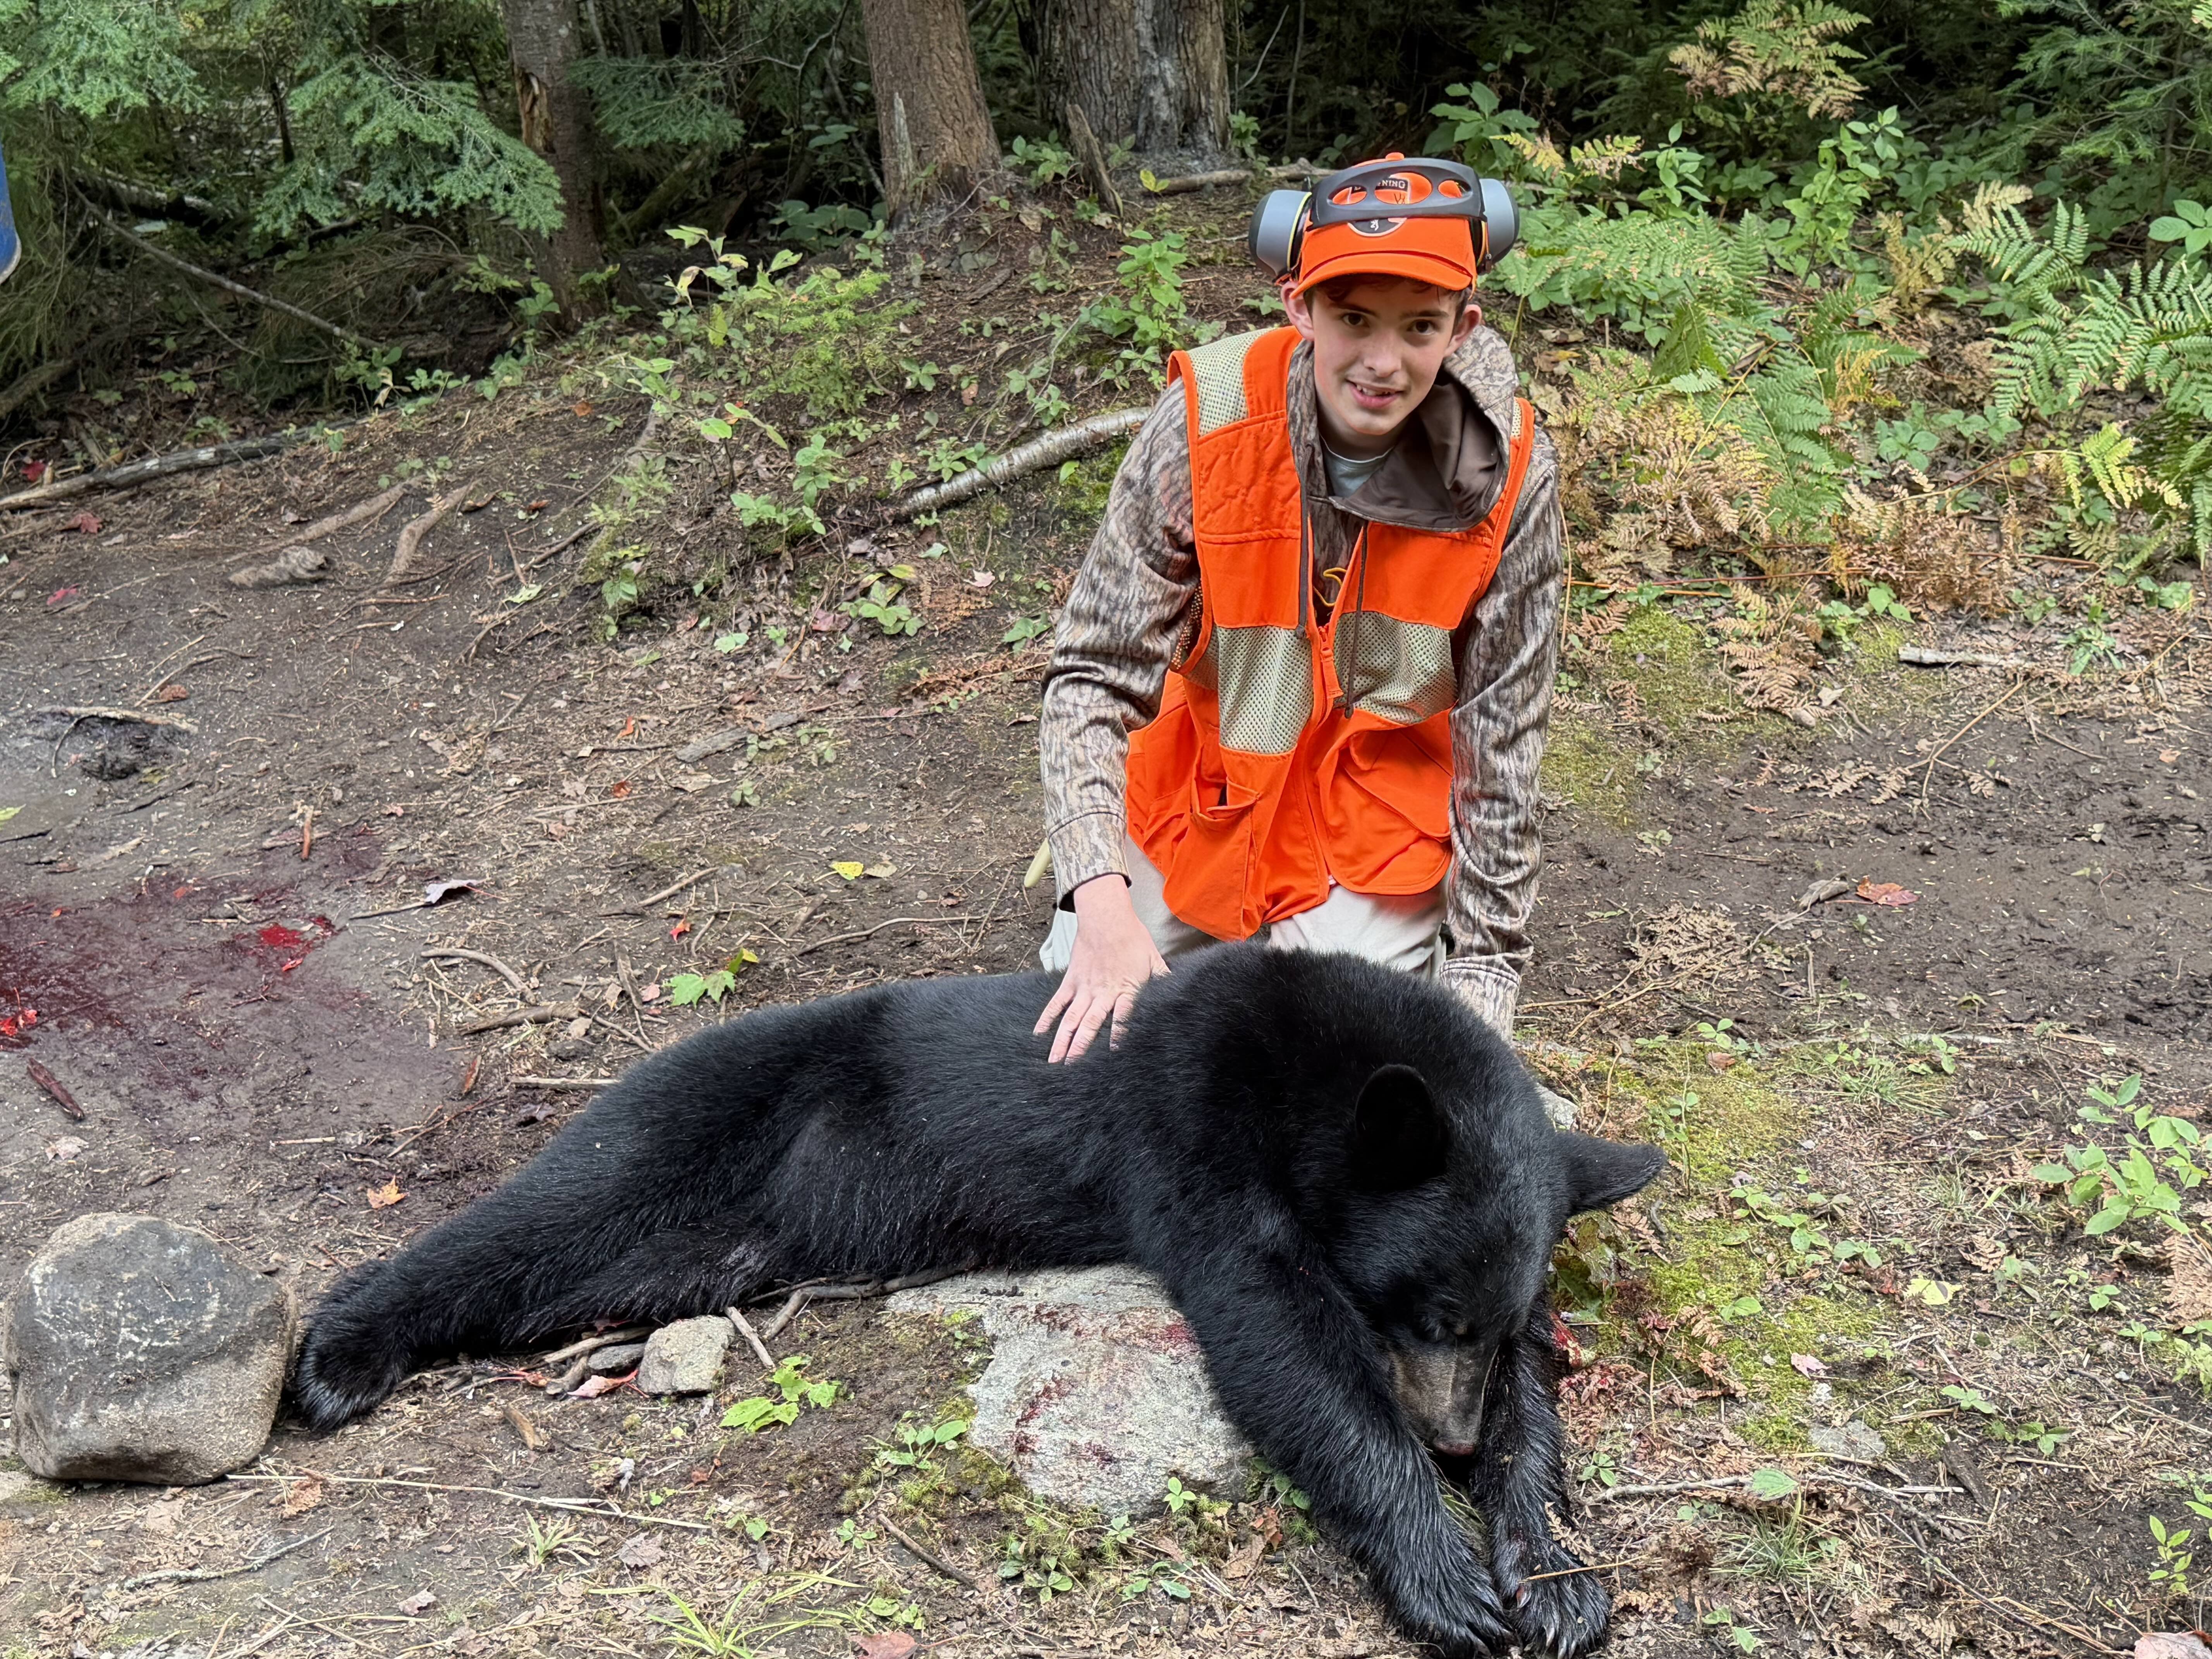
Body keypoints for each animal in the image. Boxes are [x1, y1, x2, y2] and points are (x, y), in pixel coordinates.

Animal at [294, 943, 1664, 1658]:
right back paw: (337, 1351)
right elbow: (1275, 1333)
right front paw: (1445, 1578)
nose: (1451, 1439)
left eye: (1479, 1322)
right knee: (542, 1217)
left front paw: (1552, 1573)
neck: (1308, 1075)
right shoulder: (1195, 1133)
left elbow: (1538, 1396)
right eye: (1428, 1315)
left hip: (706, 1242)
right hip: (685, 1120)